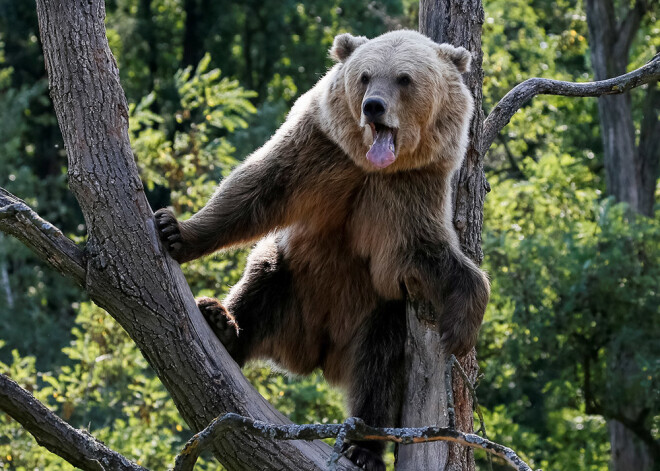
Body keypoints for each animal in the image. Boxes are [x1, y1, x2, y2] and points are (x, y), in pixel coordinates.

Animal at [156, 30, 490, 471]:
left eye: (404, 78)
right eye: (365, 76)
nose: (373, 106)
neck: (372, 167)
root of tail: (318, 352)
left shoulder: (409, 192)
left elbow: (427, 254)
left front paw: (460, 328)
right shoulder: (319, 152)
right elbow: (254, 190)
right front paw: (175, 230)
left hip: (375, 313)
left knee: (381, 365)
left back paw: (363, 447)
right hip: (292, 287)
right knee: (261, 281)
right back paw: (222, 322)